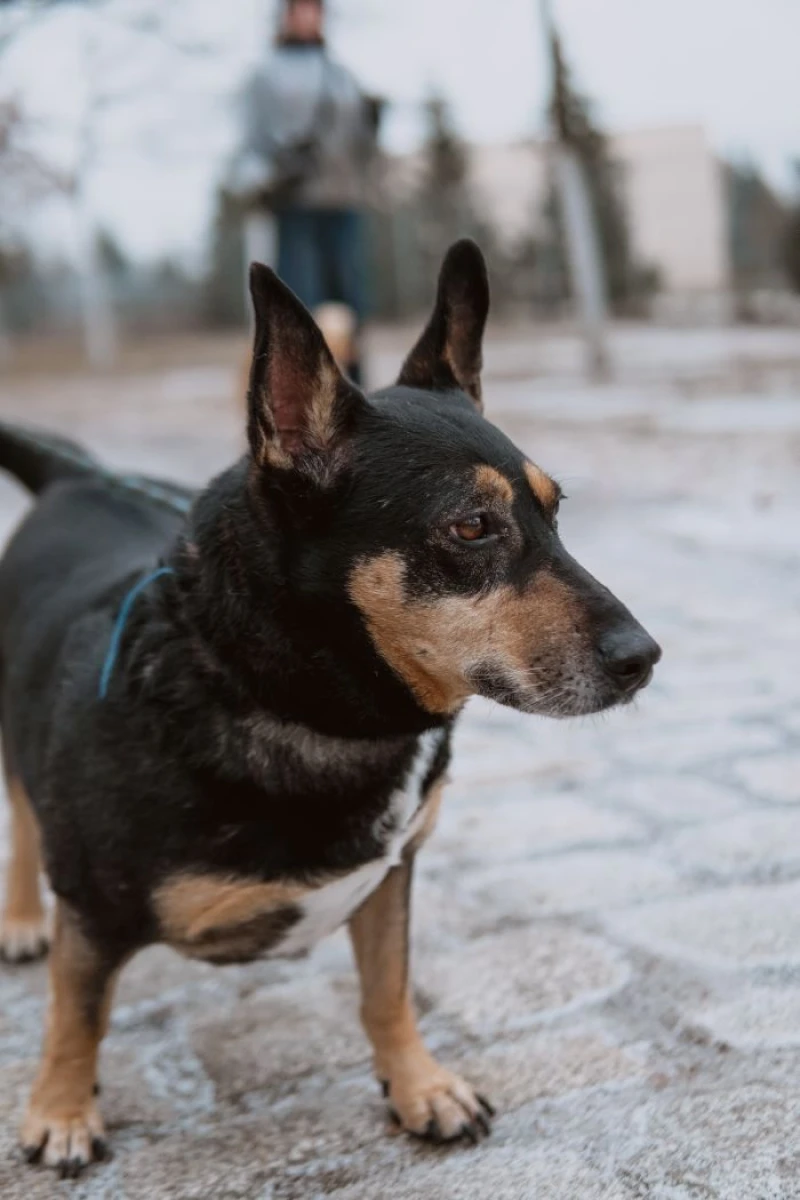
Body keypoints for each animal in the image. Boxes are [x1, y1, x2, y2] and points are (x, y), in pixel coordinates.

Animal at [0, 240, 660, 1176]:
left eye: (555, 510)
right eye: (471, 527)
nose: (645, 658)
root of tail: (75, 480)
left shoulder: (393, 876)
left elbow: (387, 989)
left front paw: (419, 1087)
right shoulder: (92, 908)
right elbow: (75, 1012)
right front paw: (60, 1110)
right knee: (24, 821)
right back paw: (23, 920)